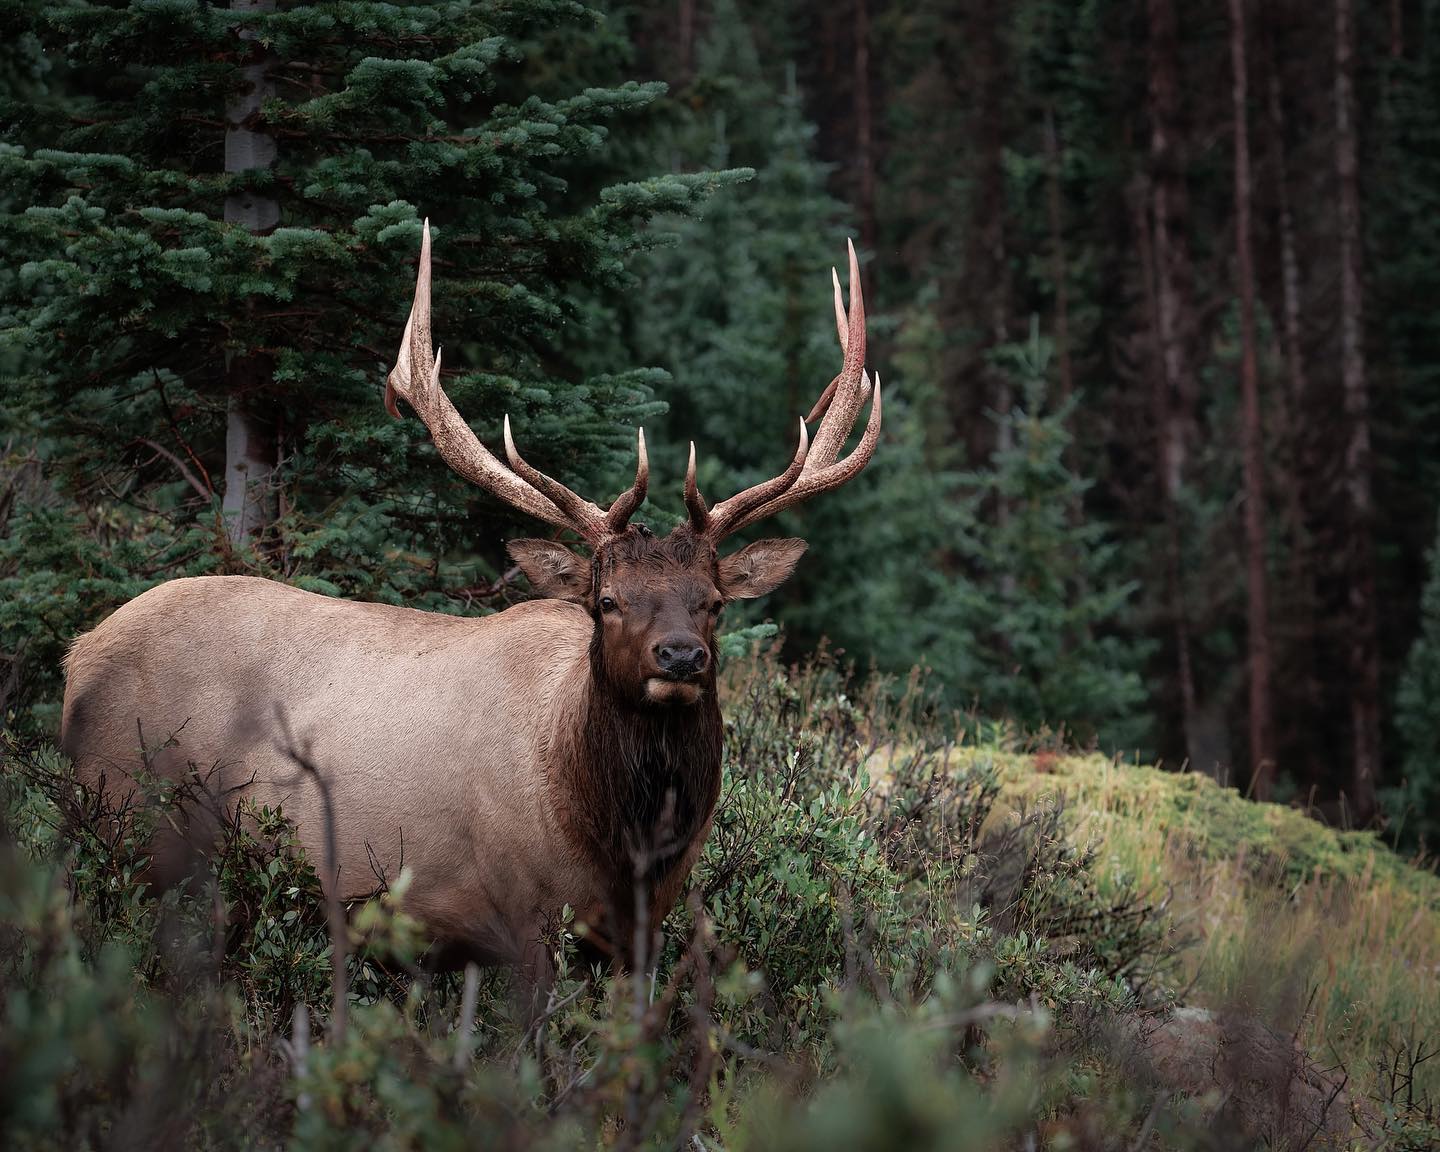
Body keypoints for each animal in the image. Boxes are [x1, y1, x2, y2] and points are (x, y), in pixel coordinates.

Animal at [59, 224, 875, 979]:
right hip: (130, 824)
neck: (623, 845)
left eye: (713, 601)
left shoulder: (639, 932)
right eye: (606, 600)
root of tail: (77, 656)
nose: (679, 656)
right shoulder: (522, 912)